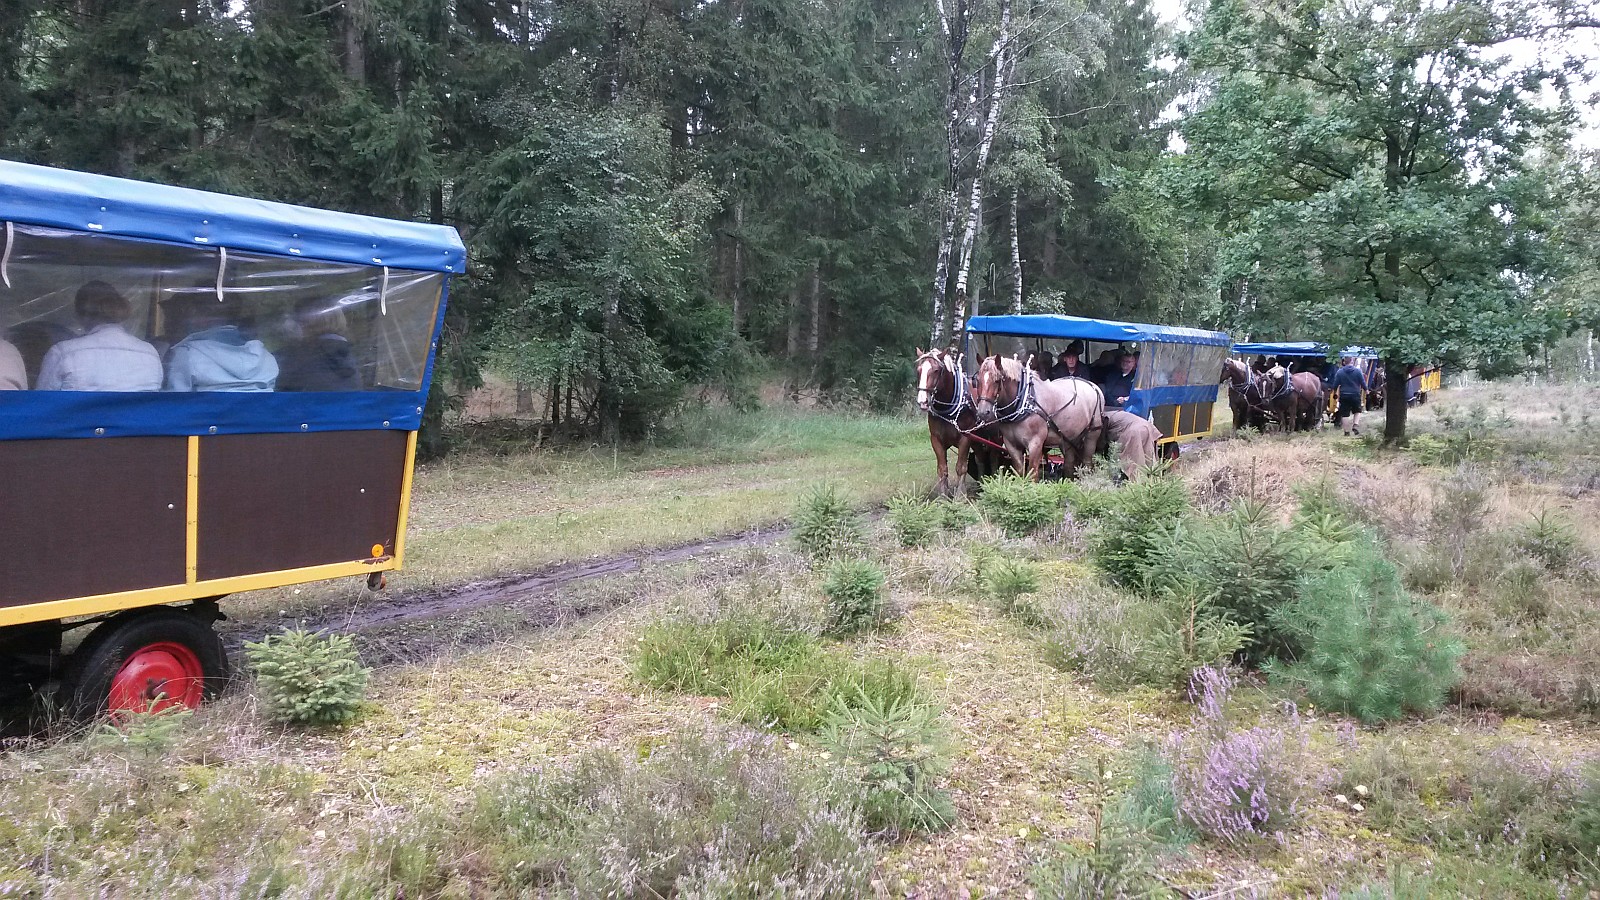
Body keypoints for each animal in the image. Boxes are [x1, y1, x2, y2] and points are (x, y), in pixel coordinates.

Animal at [915, 347, 998, 493]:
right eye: (919, 370)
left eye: (936, 370)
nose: (922, 401)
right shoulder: (936, 439)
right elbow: (942, 469)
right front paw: (943, 494)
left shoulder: (965, 438)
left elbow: (961, 467)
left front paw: (960, 494)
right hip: (978, 439)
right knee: (980, 458)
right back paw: (981, 484)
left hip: (994, 436)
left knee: (994, 458)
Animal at [966, 352, 1107, 480]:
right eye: (977, 380)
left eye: (997, 380)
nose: (983, 412)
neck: (1024, 403)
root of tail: (1093, 386)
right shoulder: (1011, 444)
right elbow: (1020, 472)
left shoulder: (1035, 443)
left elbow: (1032, 474)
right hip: (1069, 438)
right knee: (1069, 465)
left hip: (1091, 435)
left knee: (1087, 464)